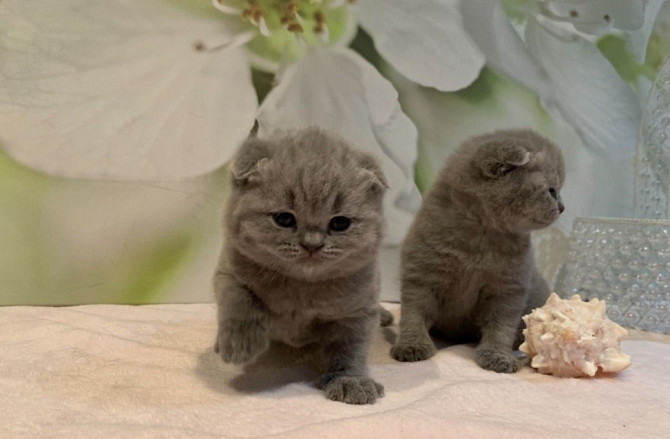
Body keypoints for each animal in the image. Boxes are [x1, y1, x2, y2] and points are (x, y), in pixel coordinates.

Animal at [213, 127, 392, 406]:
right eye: (284, 219)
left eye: (340, 223)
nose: (312, 244)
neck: (301, 288)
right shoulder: (229, 270)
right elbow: (239, 299)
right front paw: (240, 345)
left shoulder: (358, 311)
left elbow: (351, 349)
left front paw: (349, 381)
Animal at [392, 131, 568, 374]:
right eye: (552, 190)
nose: (562, 207)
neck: (481, 239)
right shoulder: (421, 274)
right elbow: (413, 314)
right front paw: (412, 345)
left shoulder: (508, 289)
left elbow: (500, 327)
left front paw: (497, 356)